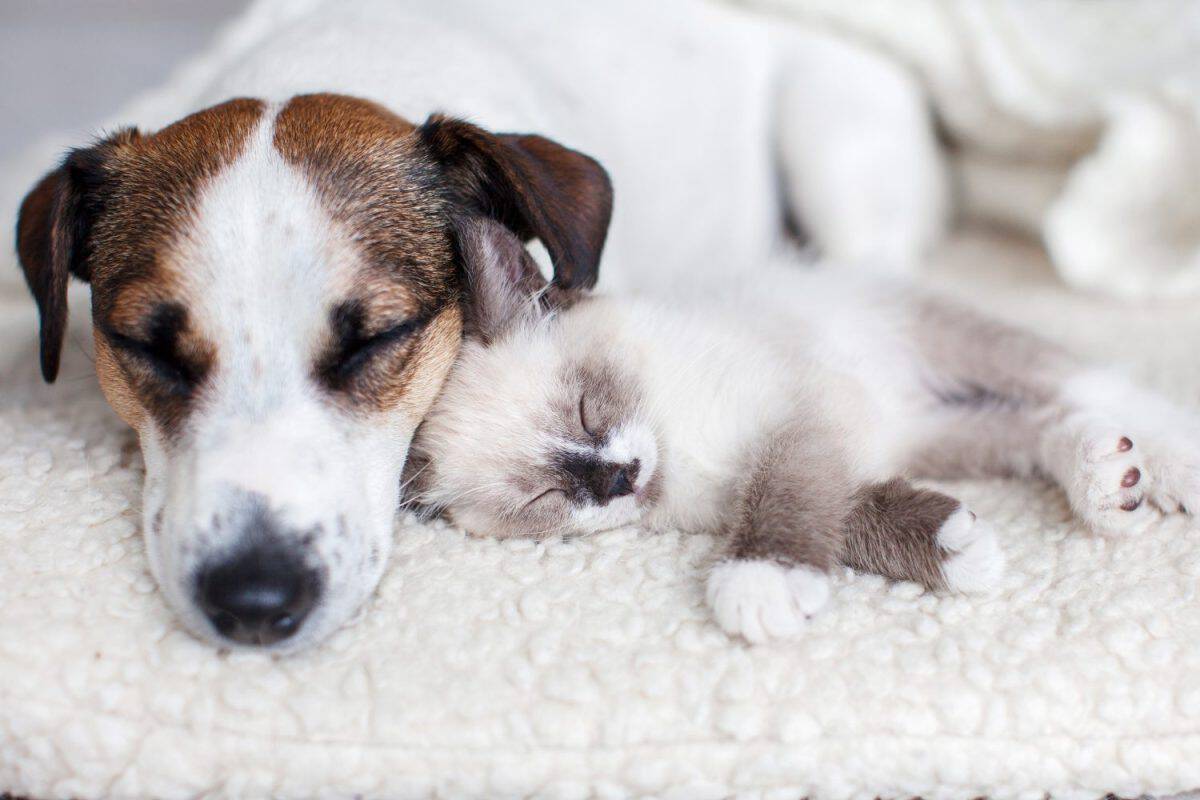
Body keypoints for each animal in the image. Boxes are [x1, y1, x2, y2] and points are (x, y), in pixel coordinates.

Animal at [405, 219, 1200, 642]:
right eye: (542, 500)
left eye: (586, 408)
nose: (615, 478)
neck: (679, 446)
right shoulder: (799, 454)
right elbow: (843, 508)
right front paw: (957, 550)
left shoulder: (801, 408)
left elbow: (787, 488)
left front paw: (760, 578)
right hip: (938, 433)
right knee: (1038, 427)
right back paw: (1107, 479)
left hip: (952, 342)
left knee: (1082, 381)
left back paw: (1165, 461)